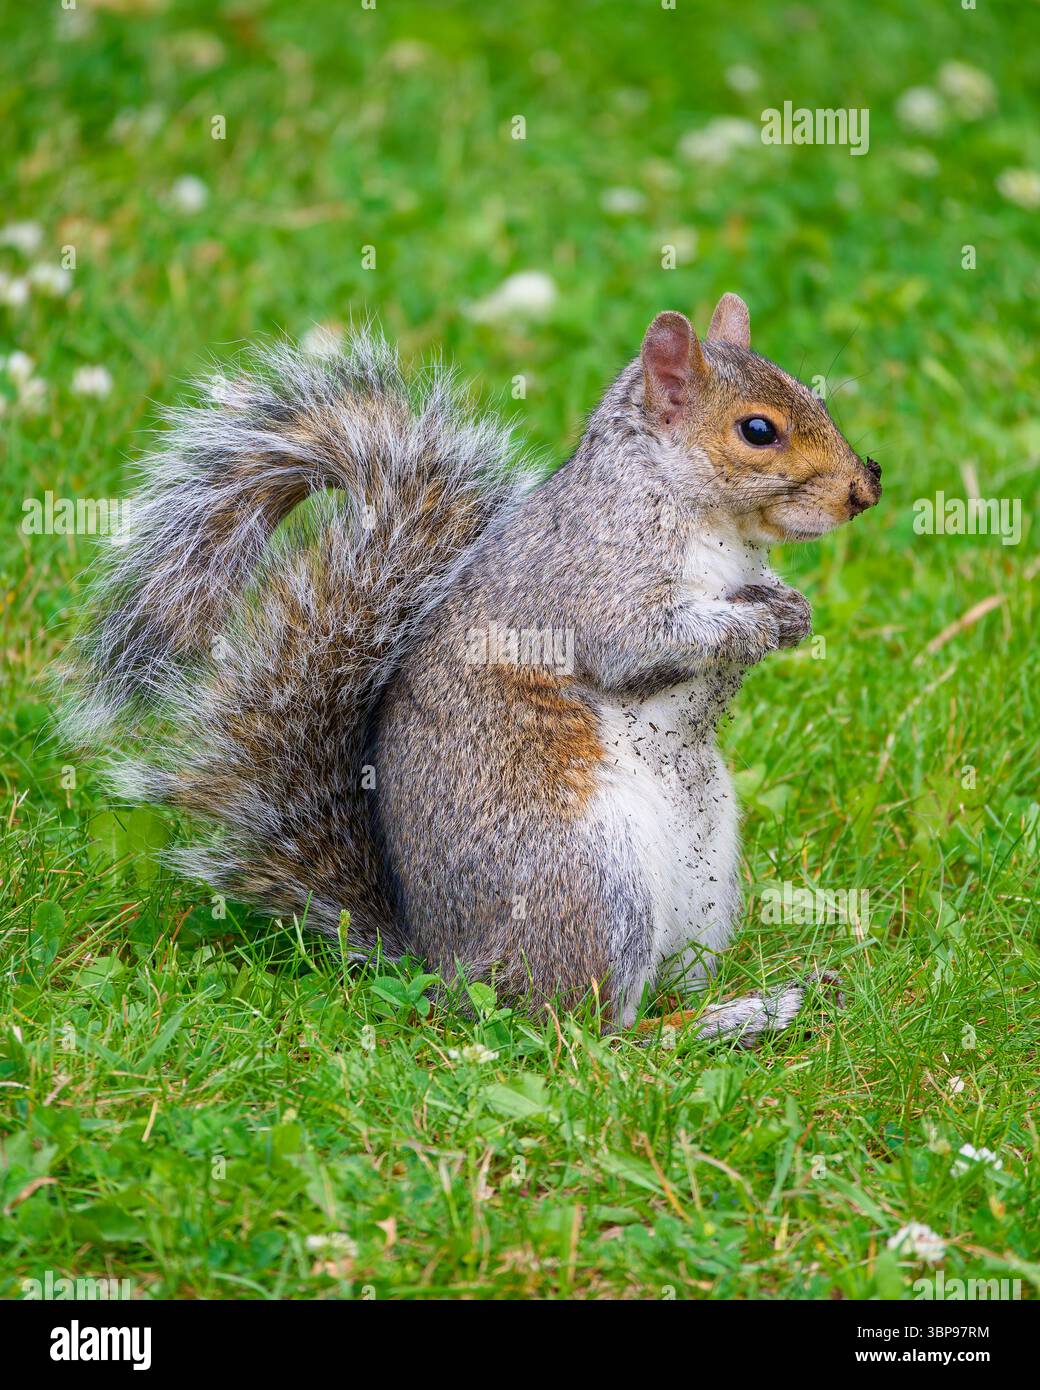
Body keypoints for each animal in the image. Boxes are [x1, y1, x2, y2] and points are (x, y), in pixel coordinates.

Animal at [60, 293, 880, 1042]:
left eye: (814, 398)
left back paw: (754, 1006)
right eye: (757, 431)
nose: (864, 488)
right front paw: (756, 621)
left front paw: (791, 607)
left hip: (704, 880)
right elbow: (634, 642)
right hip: (590, 882)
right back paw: (730, 1018)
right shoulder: (594, 580)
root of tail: (447, 970)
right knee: (587, 1032)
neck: (705, 519)